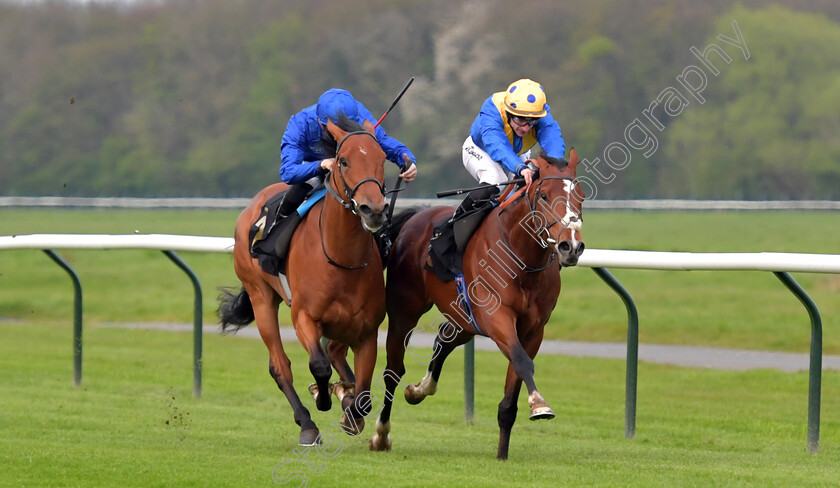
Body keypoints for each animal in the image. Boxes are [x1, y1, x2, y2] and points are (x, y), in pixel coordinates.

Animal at [217, 116, 388, 444]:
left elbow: (363, 394)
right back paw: (307, 423)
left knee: (334, 353)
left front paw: (349, 409)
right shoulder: (305, 317)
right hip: (261, 297)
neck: (342, 259)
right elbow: (318, 365)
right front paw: (323, 397)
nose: (373, 210)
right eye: (343, 161)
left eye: (382, 158)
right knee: (280, 365)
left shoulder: (366, 331)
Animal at [370, 148, 584, 458]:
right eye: (544, 196)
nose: (571, 246)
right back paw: (381, 434)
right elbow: (521, 360)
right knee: (392, 371)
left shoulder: (533, 329)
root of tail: (418, 215)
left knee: (443, 339)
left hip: (465, 316)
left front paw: (502, 453)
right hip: (404, 312)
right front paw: (539, 404)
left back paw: (419, 390)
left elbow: (514, 383)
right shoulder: (497, 318)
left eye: (581, 196)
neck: (522, 258)